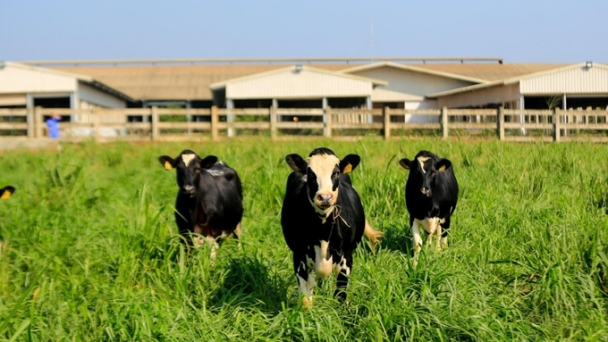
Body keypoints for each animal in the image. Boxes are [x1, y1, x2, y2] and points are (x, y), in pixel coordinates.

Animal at [282, 147, 376, 308]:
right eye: (310, 173)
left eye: (336, 173)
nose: (325, 197)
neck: (323, 232)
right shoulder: (299, 256)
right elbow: (305, 299)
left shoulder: (347, 257)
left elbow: (340, 295)